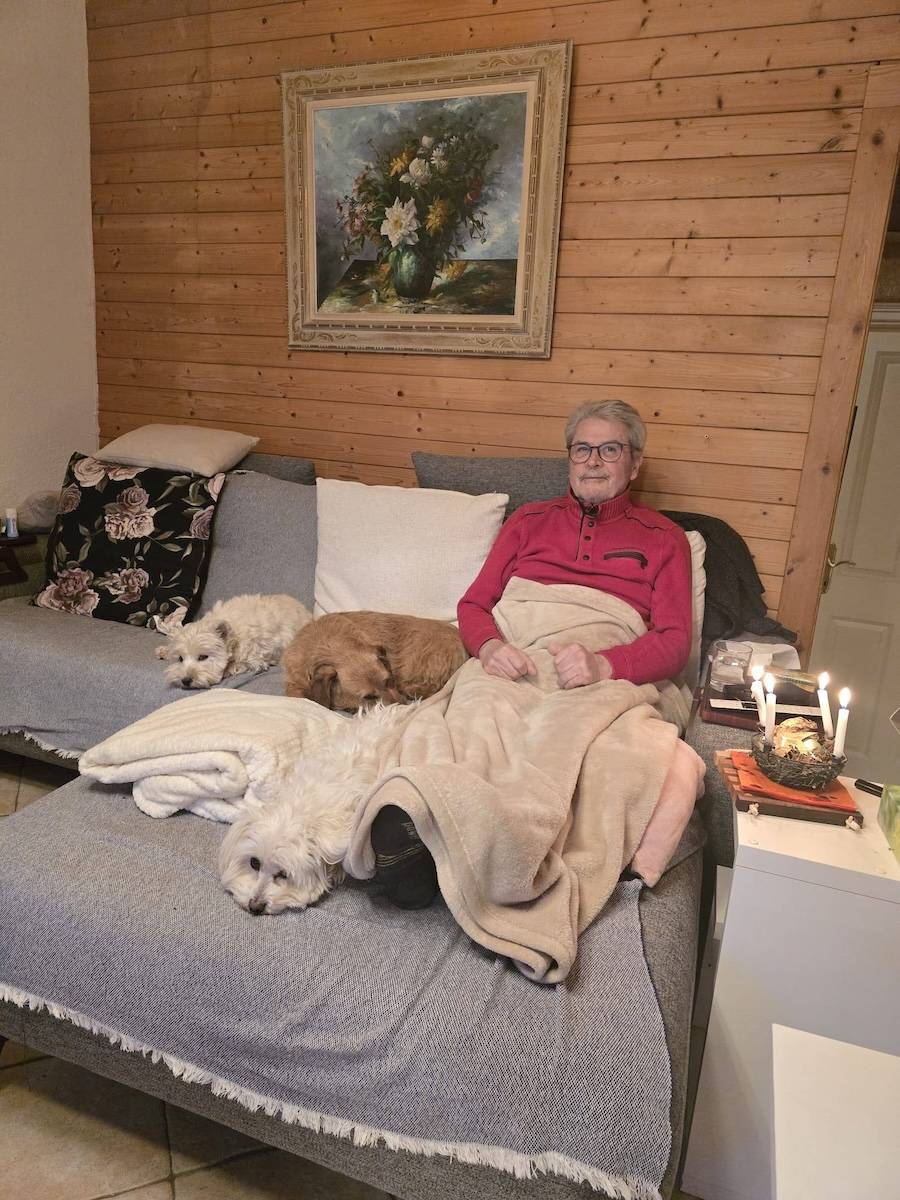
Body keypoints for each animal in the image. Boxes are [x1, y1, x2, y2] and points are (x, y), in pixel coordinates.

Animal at [157, 594, 311, 689]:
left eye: (203, 657)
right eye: (180, 658)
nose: (186, 680)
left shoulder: (255, 660)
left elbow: (237, 665)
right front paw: (163, 650)